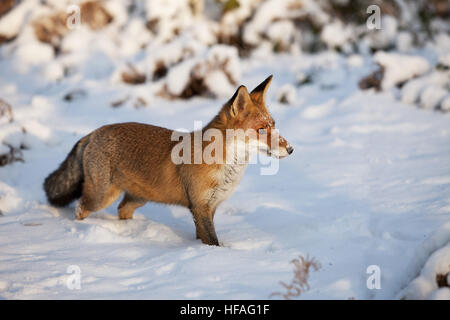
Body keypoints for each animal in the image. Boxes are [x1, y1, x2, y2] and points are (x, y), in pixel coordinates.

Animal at [44, 75, 292, 245]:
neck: (226, 169)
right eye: (261, 130)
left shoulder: (209, 208)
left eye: (274, 125)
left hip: (138, 198)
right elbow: (213, 241)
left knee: (122, 209)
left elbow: (204, 239)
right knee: (80, 208)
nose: (290, 149)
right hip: (102, 196)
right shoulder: (200, 207)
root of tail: (94, 132)